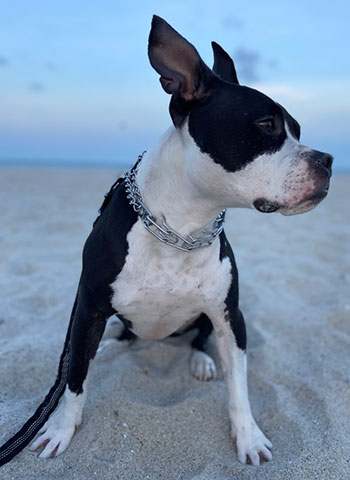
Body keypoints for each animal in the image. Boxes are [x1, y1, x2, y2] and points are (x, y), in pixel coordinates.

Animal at [0, 15, 332, 468]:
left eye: (297, 130)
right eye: (267, 126)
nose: (328, 161)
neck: (182, 230)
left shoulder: (230, 316)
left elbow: (239, 388)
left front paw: (248, 436)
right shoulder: (87, 309)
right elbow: (74, 381)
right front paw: (61, 428)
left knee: (199, 338)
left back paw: (201, 361)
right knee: (114, 341)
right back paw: (110, 346)